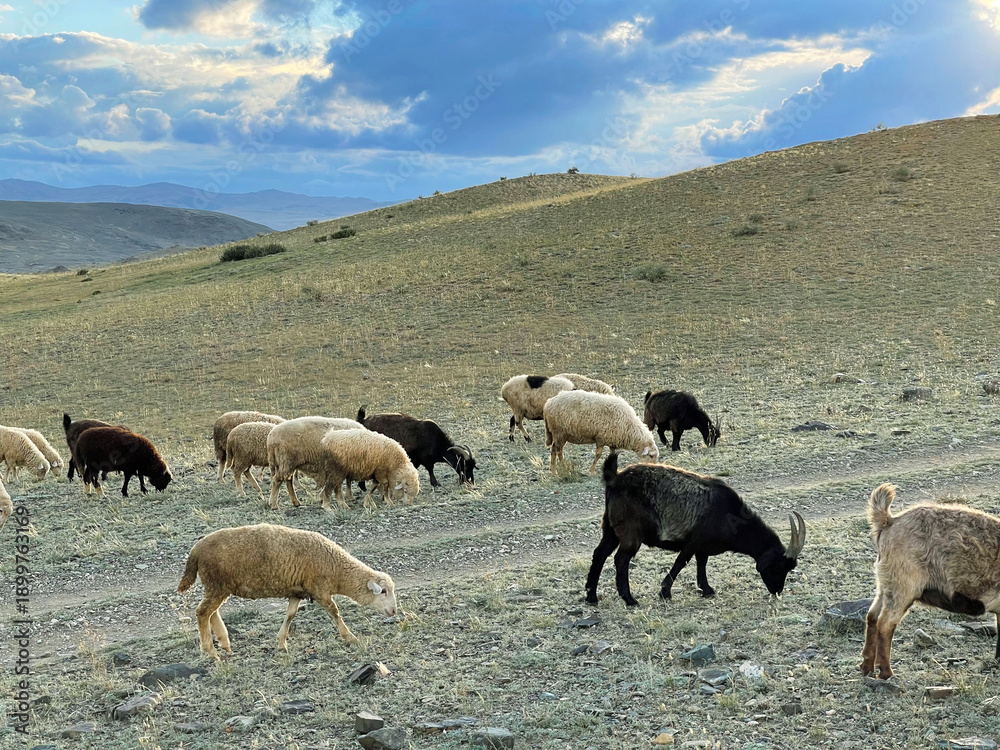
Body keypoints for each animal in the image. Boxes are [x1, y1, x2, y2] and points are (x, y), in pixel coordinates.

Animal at [177, 523, 397, 656]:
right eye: (383, 591)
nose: (394, 611)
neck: (337, 569)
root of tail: (196, 550)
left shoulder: (296, 591)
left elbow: (290, 615)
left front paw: (281, 643)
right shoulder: (320, 589)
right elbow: (335, 612)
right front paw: (349, 636)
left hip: (217, 586)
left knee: (211, 612)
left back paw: (224, 642)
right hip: (217, 584)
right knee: (202, 612)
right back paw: (210, 651)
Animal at [586, 452, 806, 606]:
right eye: (779, 566)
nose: (777, 591)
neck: (729, 513)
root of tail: (614, 478)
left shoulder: (703, 547)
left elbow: (702, 563)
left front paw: (706, 589)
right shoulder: (694, 541)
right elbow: (681, 562)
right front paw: (665, 592)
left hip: (610, 528)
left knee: (600, 553)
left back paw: (591, 596)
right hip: (631, 531)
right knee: (621, 559)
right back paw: (630, 599)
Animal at [861, 483, 1000, 679]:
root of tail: (890, 521)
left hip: (886, 584)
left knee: (872, 616)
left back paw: (867, 666)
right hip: (903, 586)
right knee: (885, 623)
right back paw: (886, 672)